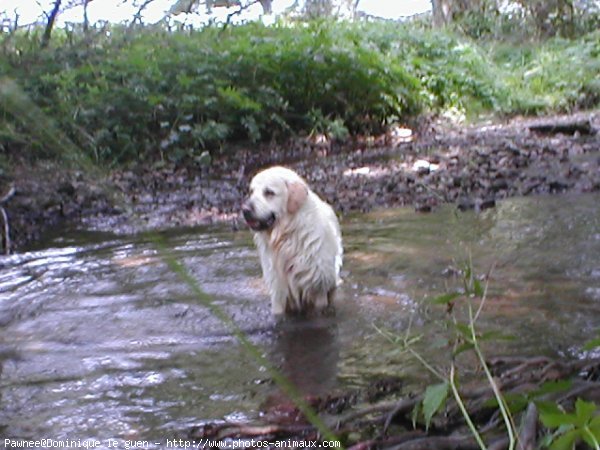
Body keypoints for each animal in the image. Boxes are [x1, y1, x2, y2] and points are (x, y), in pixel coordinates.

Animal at [240, 166, 342, 316]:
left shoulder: (318, 288)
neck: (286, 237)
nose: (245, 210)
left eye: (269, 192)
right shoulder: (278, 292)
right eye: (251, 192)